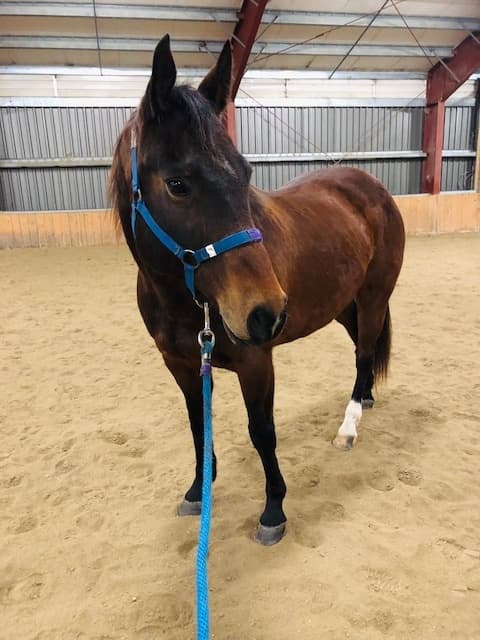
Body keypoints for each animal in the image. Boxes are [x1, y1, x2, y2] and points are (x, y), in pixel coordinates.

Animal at [109, 34, 405, 546]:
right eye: (177, 183)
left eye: (245, 173)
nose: (266, 312)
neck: (186, 302)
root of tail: (371, 186)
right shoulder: (180, 364)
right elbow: (197, 425)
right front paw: (198, 490)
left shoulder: (256, 361)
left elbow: (262, 431)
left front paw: (273, 510)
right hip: (343, 305)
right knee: (360, 355)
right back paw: (365, 398)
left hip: (372, 298)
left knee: (366, 351)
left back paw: (349, 426)